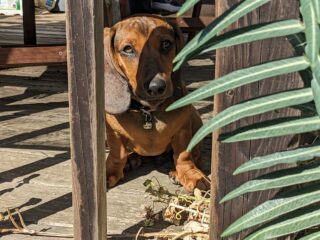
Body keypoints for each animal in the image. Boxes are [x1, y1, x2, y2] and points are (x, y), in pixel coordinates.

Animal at [105, 15, 209, 192]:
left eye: (166, 44)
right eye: (128, 49)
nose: (156, 87)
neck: (149, 111)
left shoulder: (183, 130)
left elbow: (183, 155)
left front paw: (191, 175)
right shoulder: (114, 132)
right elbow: (116, 154)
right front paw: (109, 172)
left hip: (195, 120)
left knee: (195, 154)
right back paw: (132, 160)